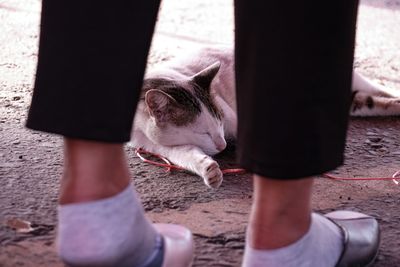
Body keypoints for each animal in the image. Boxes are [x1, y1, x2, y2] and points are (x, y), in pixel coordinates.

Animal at [131, 46, 400, 188]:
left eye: (219, 122)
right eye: (202, 132)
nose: (222, 144)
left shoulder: (233, 115)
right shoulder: (156, 145)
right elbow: (187, 155)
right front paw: (210, 170)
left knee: (377, 88)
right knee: (368, 101)